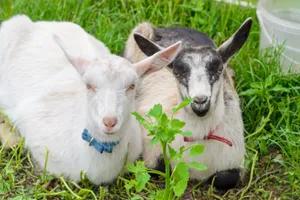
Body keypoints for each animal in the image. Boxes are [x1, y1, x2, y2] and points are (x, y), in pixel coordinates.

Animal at [123, 17, 252, 189]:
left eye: (218, 70)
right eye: (177, 73)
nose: (200, 101)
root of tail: (166, 28)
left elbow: (224, 178)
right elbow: (160, 168)